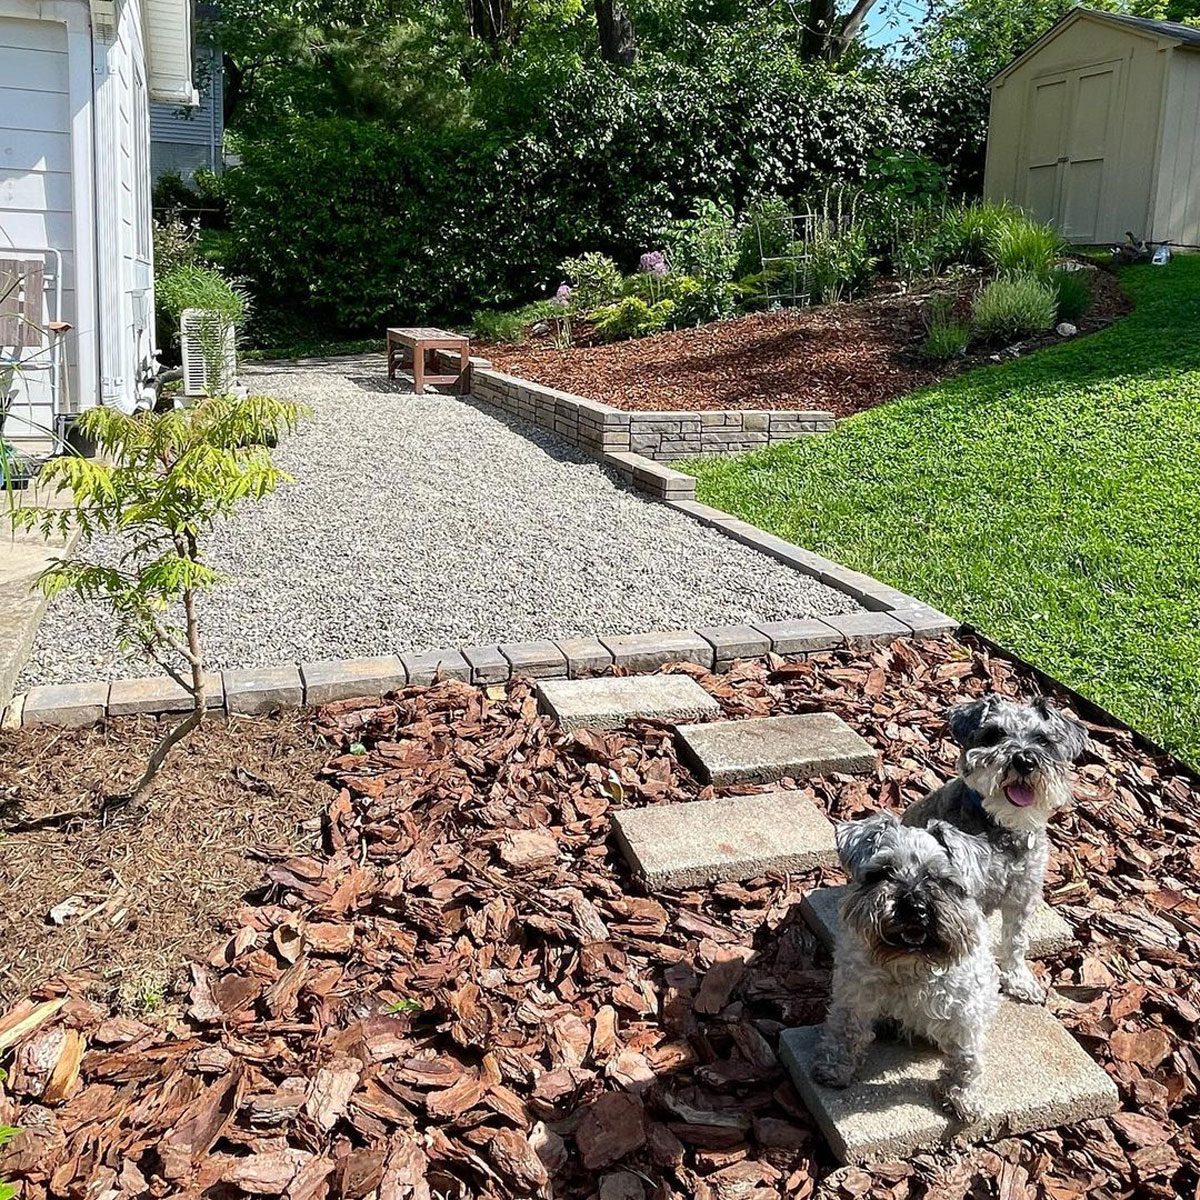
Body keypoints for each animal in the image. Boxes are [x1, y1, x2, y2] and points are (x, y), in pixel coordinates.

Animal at [816, 811, 993, 1118]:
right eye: (885, 871)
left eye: (939, 878)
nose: (914, 906)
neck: (909, 964)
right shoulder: (853, 996)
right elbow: (846, 1031)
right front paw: (835, 1068)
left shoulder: (965, 1013)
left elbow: (966, 1058)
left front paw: (962, 1096)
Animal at [902, 691, 1089, 1008]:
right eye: (994, 734)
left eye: (1043, 740)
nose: (1024, 760)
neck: (1003, 828)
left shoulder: (1023, 897)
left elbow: (1016, 941)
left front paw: (1019, 980)